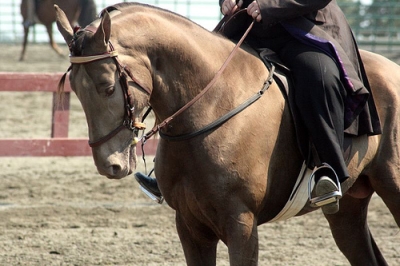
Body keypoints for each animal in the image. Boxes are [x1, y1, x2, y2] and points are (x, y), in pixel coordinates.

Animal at [54, 2, 398, 266]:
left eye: (108, 87)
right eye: (76, 90)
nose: (109, 165)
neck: (210, 107)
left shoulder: (241, 225)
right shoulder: (190, 226)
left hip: (391, 187)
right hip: (347, 210)